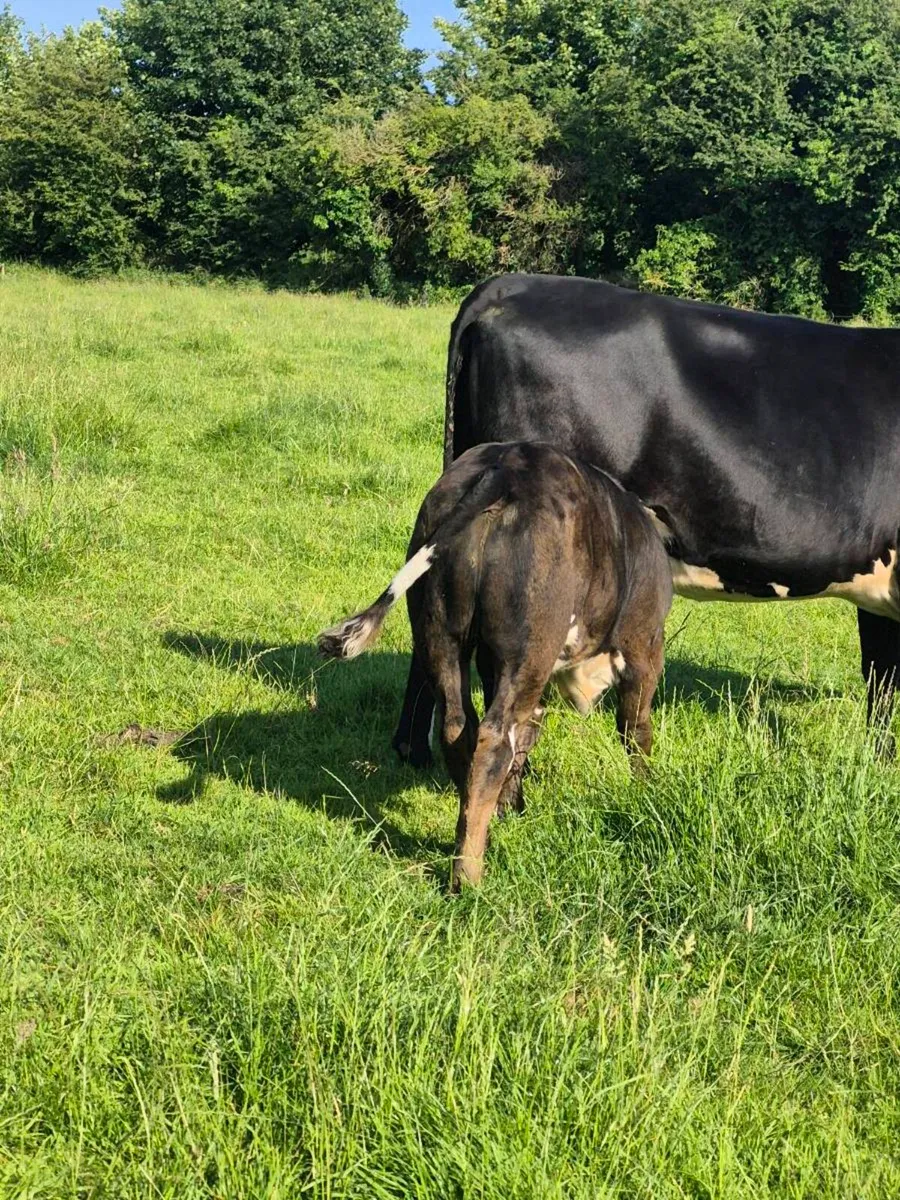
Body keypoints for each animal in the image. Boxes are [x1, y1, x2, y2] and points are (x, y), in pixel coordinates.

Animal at [319, 441, 673, 887]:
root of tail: (508, 466)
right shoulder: (644, 648)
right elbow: (635, 731)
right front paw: (646, 791)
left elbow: (527, 736)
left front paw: (511, 806)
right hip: (530, 648)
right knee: (492, 739)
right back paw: (468, 874)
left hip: (443, 634)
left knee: (459, 729)